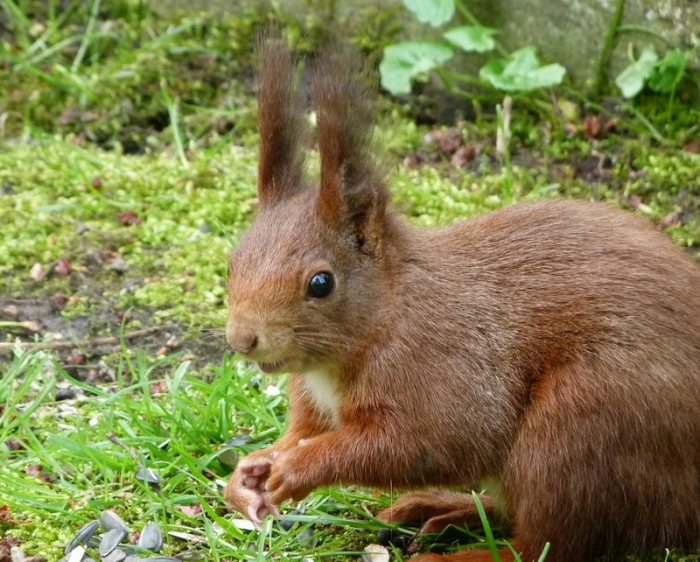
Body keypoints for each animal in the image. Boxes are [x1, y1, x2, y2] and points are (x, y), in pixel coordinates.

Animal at [223, 36, 700, 562]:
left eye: (321, 283)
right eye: (232, 261)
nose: (242, 339)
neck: (386, 316)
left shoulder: (440, 367)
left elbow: (427, 443)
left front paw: (296, 468)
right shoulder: (316, 398)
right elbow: (304, 432)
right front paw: (251, 470)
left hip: (582, 427)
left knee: (547, 541)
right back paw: (447, 508)